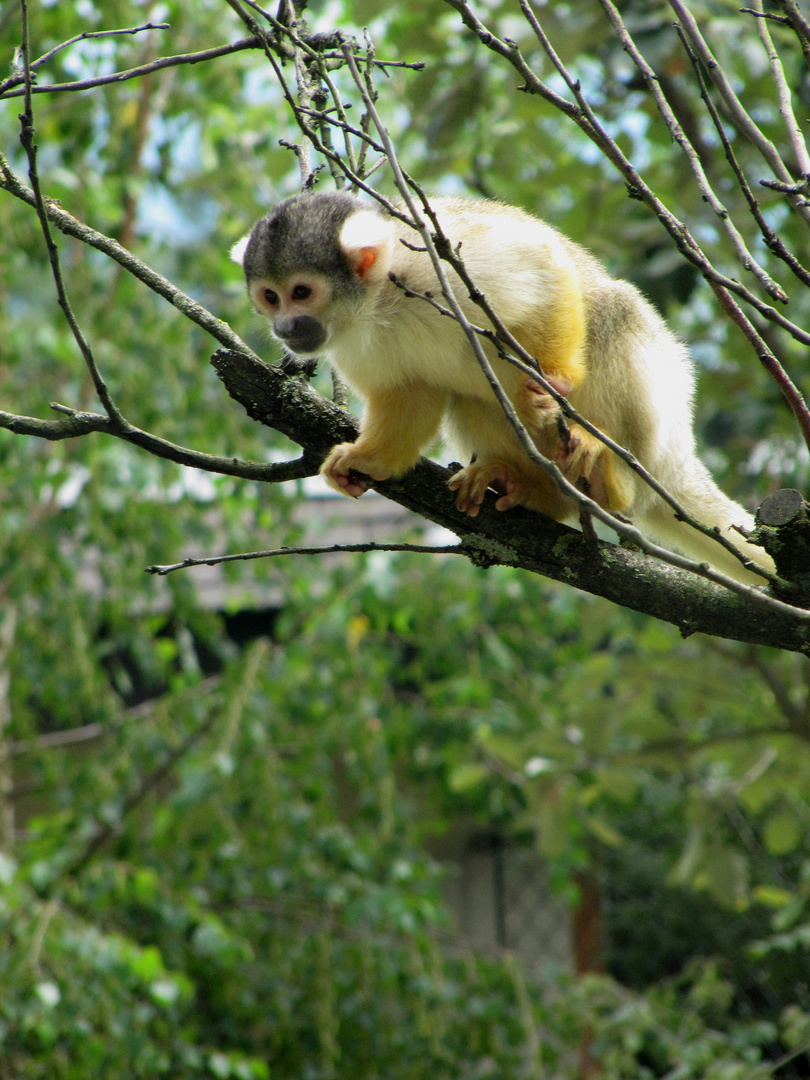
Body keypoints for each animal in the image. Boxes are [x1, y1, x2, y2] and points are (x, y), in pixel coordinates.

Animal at [233, 190, 773, 587]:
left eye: (301, 292)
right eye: (270, 296)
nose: (285, 327)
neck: (381, 297)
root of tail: (674, 459)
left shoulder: (437, 257)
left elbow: (542, 266)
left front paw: (554, 377)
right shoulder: (354, 340)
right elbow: (409, 393)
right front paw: (370, 459)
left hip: (655, 430)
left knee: (614, 310)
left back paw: (609, 478)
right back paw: (530, 489)